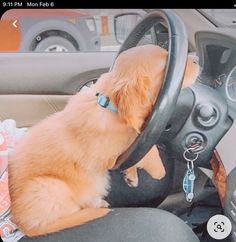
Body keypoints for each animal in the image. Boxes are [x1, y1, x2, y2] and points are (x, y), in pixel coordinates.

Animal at [7, 44, 199, 236]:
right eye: (166, 64)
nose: (197, 59)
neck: (108, 104)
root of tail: (22, 225)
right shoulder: (113, 151)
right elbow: (149, 149)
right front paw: (159, 171)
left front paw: (131, 175)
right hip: (50, 186)